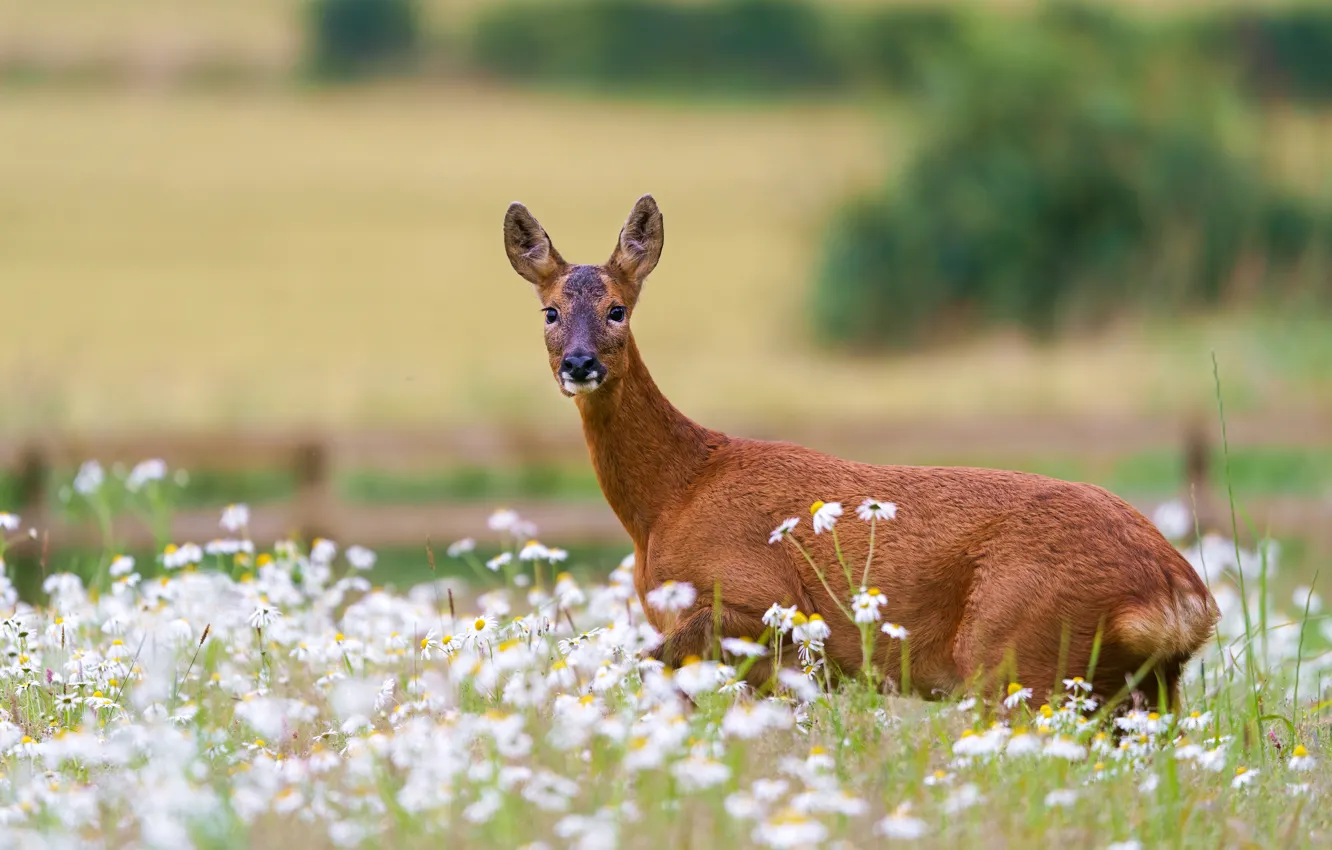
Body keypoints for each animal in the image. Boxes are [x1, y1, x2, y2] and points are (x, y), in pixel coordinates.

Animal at [501, 194, 1219, 708]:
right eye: (549, 312)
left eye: (618, 309)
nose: (580, 364)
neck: (672, 496)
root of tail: (1181, 595)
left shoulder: (763, 601)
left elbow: (647, 662)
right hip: (1137, 690)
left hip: (1022, 653)